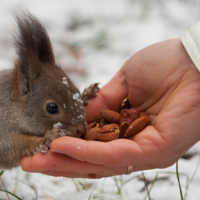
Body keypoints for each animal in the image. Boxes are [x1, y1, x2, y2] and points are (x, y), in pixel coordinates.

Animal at [0, 12, 98, 169]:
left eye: (76, 91)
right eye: (52, 107)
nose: (82, 130)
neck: (12, 106)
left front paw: (86, 93)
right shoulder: (2, 126)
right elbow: (8, 148)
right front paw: (48, 137)